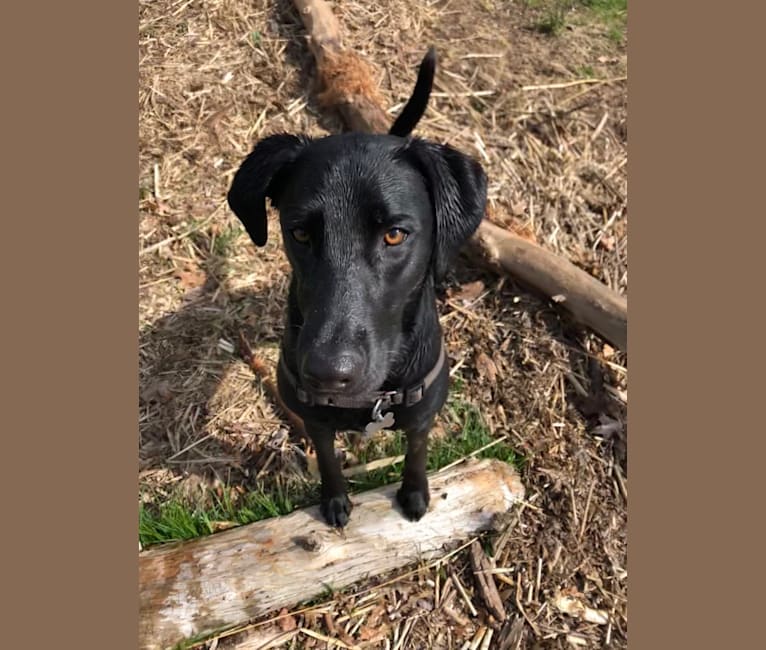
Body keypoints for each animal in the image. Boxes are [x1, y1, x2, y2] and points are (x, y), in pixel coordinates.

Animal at [228, 50, 488, 528]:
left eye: (394, 235)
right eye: (300, 233)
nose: (328, 374)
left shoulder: (423, 414)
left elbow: (417, 451)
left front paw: (415, 493)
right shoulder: (313, 420)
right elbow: (328, 458)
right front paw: (334, 500)